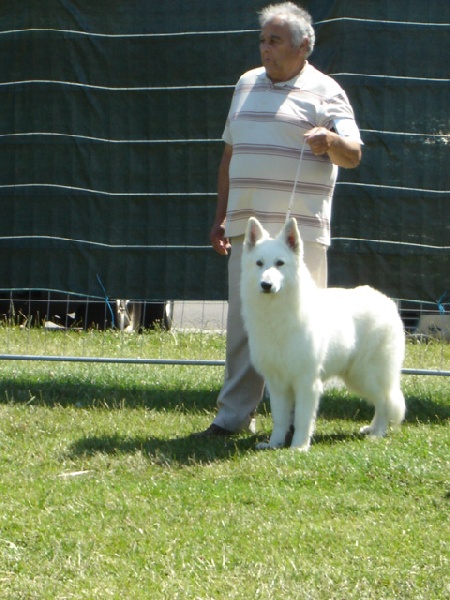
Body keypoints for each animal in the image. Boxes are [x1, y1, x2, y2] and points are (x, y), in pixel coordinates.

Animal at [240, 217, 406, 451]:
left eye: (280, 263)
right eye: (259, 263)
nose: (266, 284)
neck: (277, 313)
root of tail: (387, 301)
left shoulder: (306, 382)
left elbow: (302, 418)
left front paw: (299, 447)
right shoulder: (278, 383)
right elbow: (280, 418)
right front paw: (274, 444)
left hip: (367, 375)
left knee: (385, 401)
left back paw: (378, 433)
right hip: (356, 377)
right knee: (382, 401)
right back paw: (371, 429)